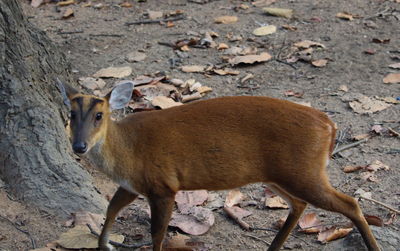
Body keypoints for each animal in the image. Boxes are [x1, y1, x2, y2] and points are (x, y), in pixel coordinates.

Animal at [61, 81, 380, 251]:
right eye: (71, 114)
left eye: (99, 115)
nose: (79, 146)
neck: (127, 150)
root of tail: (329, 125)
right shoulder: (133, 185)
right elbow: (111, 208)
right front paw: (104, 244)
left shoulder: (163, 184)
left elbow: (157, 232)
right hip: (282, 174)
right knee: (300, 204)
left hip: (304, 171)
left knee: (350, 203)